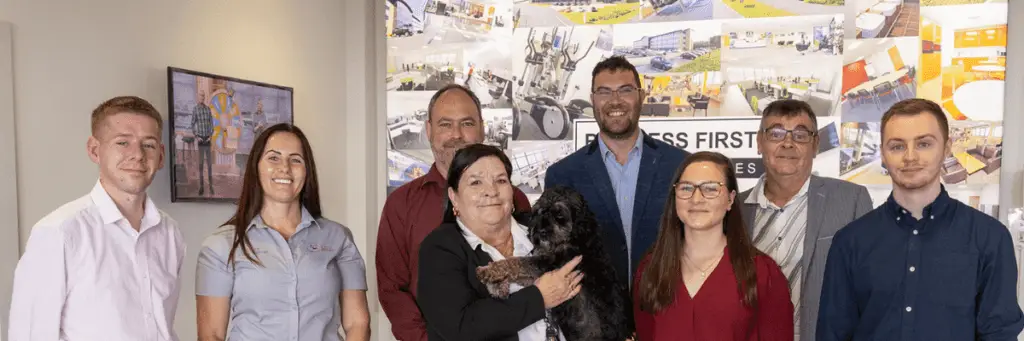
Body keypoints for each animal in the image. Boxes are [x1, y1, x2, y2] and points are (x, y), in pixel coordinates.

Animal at [473, 186, 630, 339]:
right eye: (540, 211)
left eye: (559, 215)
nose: (540, 231)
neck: (575, 240)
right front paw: (497, 286)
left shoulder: (546, 266)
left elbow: (516, 262)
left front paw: (488, 271)